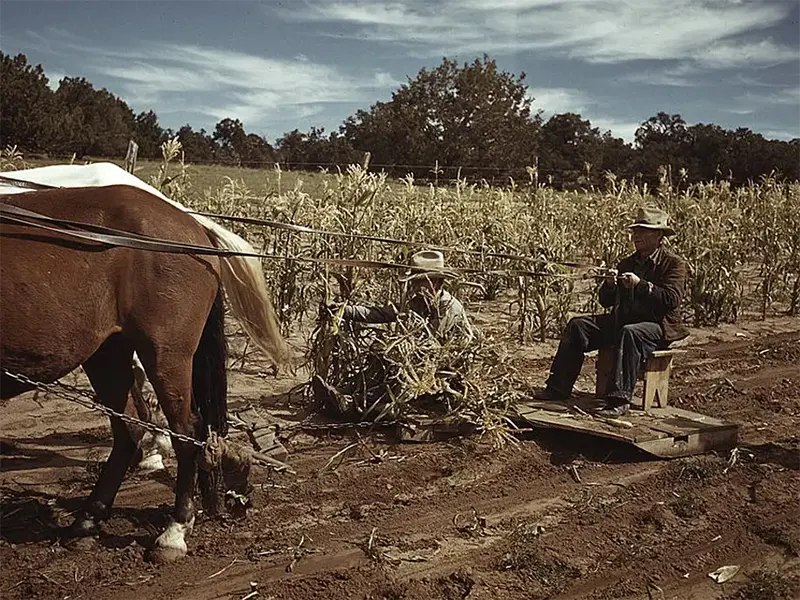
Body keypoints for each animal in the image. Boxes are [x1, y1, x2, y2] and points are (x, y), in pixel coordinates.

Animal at [0, 166, 288, 560]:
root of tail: (190, 223)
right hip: (108, 351)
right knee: (130, 431)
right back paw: (88, 520)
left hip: (166, 352)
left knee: (186, 432)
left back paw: (173, 532)